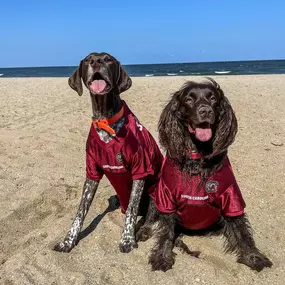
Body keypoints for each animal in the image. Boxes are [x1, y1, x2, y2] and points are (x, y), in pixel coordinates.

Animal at [53, 52, 163, 252]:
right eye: (88, 60)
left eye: (108, 59)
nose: (96, 62)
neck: (105, 121)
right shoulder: (92, 173)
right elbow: (80, 211)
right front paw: (69, 240)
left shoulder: (140, 169)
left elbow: (131, 210)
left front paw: (127, 239)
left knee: (151, 214)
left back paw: (143, 230)